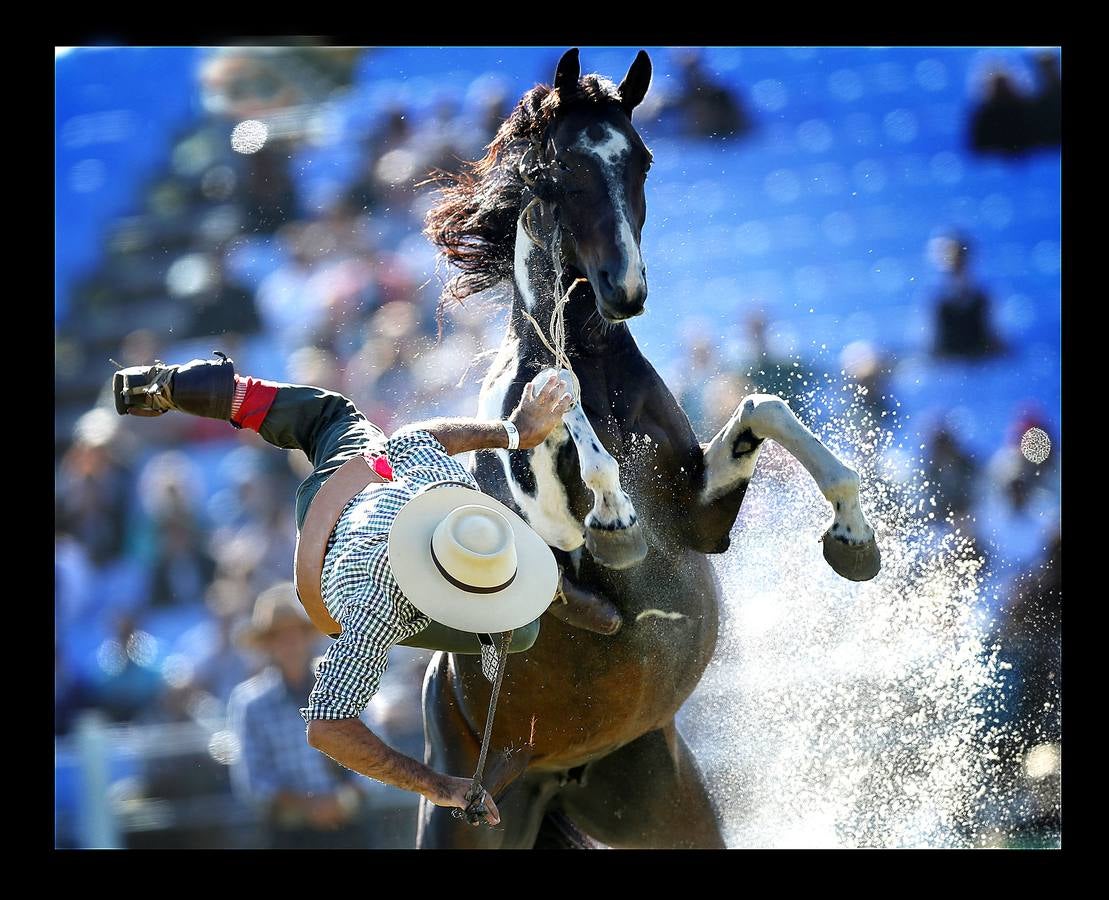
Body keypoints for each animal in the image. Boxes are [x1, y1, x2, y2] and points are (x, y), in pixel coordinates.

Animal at [412, 47, 878, 851]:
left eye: (641, 159)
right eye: (556, 172)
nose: (623, 290)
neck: (600, 371)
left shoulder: (699, 520)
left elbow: (766, 408)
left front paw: (852, 536)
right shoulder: (566, 564)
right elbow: (563, 412)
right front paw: (615, 517)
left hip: (666, 805)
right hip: (462, 820)